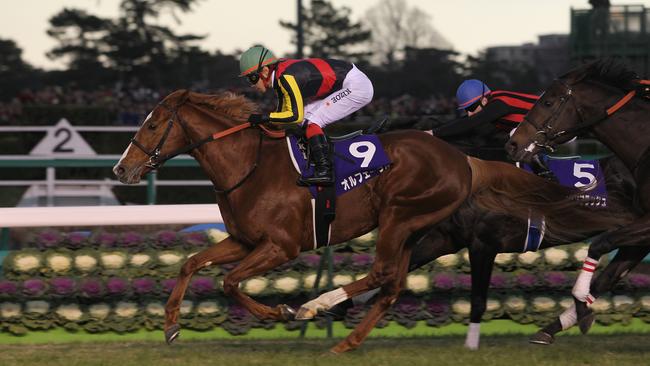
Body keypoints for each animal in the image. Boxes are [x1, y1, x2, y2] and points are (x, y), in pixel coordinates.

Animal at [114, 88, 620, 352]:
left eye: (153, 124)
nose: (121, 169)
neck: (250, 166)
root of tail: (462, 159)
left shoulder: (280, 246)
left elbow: (230, 282)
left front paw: (280, 311)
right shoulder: (243, 240)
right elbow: (191, 264)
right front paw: (171, 325)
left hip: (399, 216)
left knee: (382, 274)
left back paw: (318, 307)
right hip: (418, 228)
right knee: (392, 283)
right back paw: (347, 337)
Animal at [506, 59, 648, 344]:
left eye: (548, 102)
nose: (513, 143)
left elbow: (600, 244)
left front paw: (581, 305)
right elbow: (606, 278)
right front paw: (555, 326)